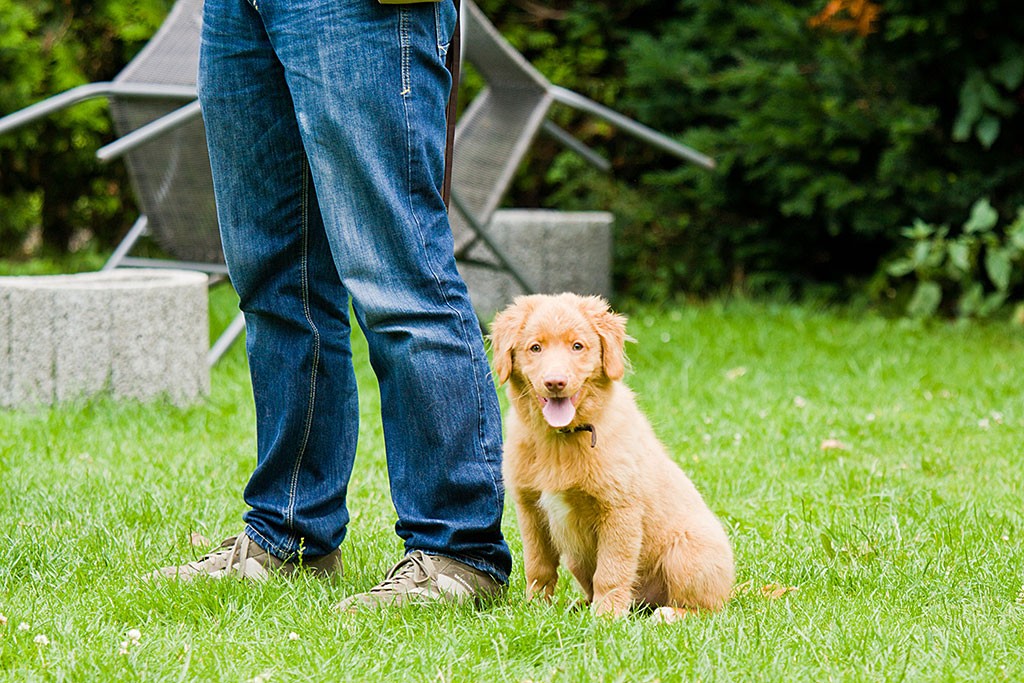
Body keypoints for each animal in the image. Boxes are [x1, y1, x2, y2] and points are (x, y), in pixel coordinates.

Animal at [489, 294, 737, 618]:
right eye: (535, 348)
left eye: (577, 346)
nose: (555, 382)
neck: (561, 438)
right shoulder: (530, 508)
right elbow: (538, 566)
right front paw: (535, 608)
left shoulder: (619, 510)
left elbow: (611, 570)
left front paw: (606, 617)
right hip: (577, 558)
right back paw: (580, 605)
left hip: (687, 550)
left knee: (708, 609)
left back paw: (668, 614)